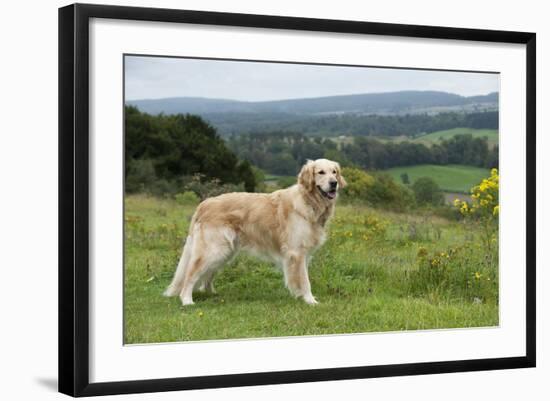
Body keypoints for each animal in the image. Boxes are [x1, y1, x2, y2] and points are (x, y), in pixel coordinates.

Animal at [163, 158, 350, 304]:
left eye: (334, 172)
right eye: (321, 172)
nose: (334, 183)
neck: (309, 202)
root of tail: (204, 204)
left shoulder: (302, 254)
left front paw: (300, 296)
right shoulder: (296, 252)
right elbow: (305, 281)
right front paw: (310, 300)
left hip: (225, 252)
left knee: (206, 277)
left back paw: (212, 294)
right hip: (213, 250)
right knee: (191, 274)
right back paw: (187, 300)